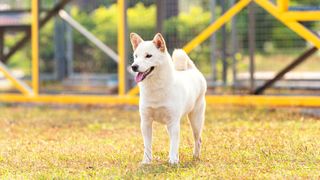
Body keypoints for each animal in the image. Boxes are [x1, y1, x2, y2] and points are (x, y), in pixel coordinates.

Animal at [130, 32, 208, 165]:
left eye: (148, 56)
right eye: (136, 56)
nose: (134, 66)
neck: (155, 88)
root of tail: (193, 71)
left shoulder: (173, 121)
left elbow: (174, 144)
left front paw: (172, 161)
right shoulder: (145, 122)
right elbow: (147, 145)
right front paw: (146, 161)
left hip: (195, 120)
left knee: (198, 139)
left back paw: (195, 157)